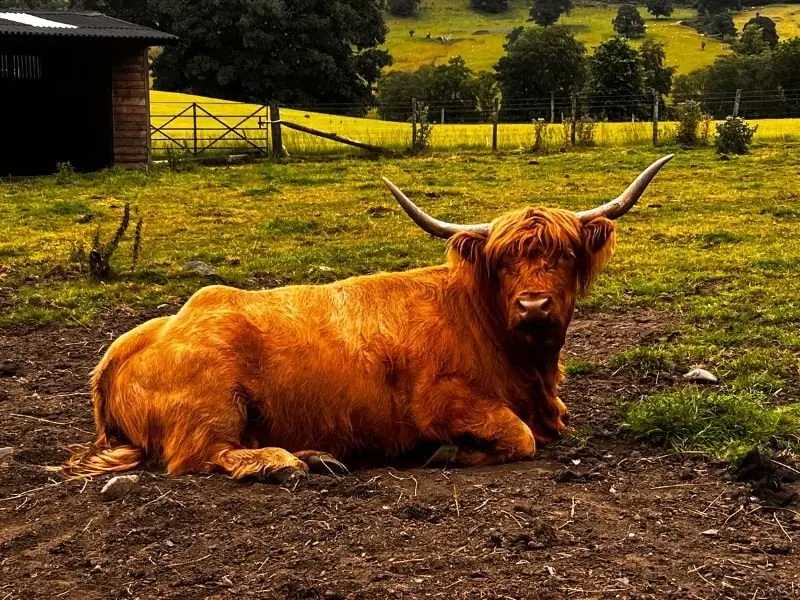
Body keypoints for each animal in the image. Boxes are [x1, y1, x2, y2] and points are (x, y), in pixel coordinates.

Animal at [62, 155, 673, 483]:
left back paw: (315, 455)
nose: (533, 306)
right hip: (211, 406)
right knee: (199, 457)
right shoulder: (442, 401)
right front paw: (449, 453)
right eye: (502, 261)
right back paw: (284, 462)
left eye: (565, 254)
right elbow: (517, 436)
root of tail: (125, 345)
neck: (525, 366)